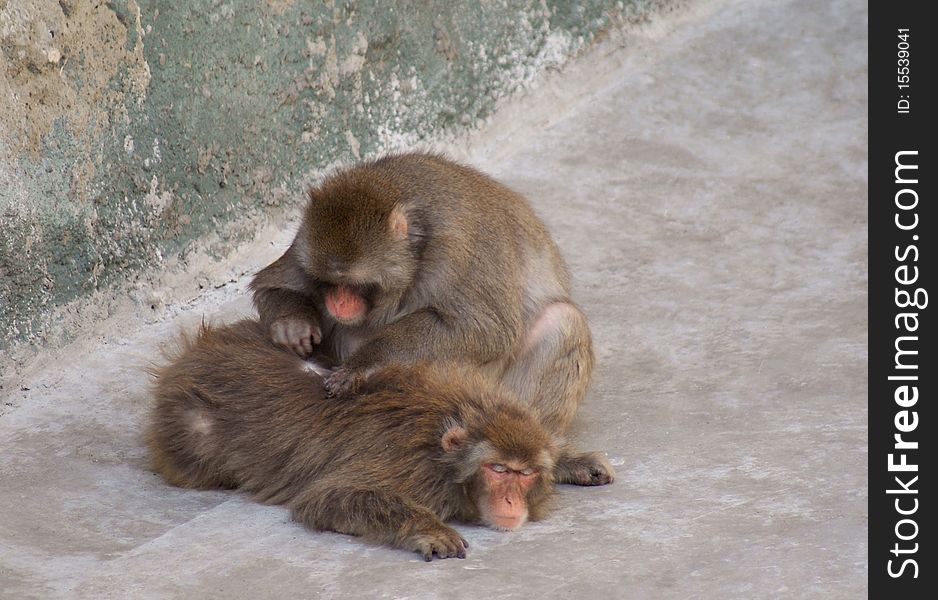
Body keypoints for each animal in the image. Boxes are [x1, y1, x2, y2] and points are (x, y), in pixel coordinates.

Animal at [149, 322, 568, 560]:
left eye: (525, 473)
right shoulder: (410, 467)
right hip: (188, 424)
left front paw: (571, 462)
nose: (512, 501)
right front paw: (427, 529)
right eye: (498, 469)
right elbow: (328, 497)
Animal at [249, 151, 596, 440]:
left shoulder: (457, 251)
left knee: (562, 319)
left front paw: (364, 362)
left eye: (355, 285)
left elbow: (486, 330)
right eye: (328, 283)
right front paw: (293, 324)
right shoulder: (304, 242)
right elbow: (270, 285)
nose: (339, 303)